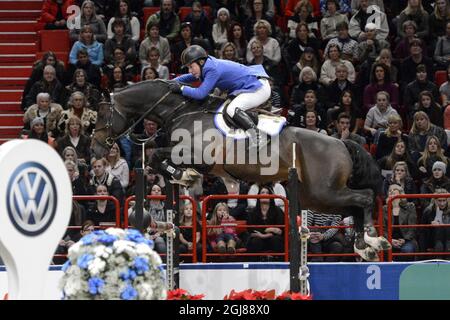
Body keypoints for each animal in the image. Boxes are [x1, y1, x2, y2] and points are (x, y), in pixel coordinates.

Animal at [91, 79, 390, 260]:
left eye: (103, 114)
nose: (95, 146)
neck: (181, 111)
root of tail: (341, 142)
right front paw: (187, 182)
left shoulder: (198, 156)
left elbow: (156, 156)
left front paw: (183, 175)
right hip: (316, 197)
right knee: (353, 205)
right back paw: (366, 246)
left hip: (323, 191)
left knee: (363, 198)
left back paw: (372, 239)